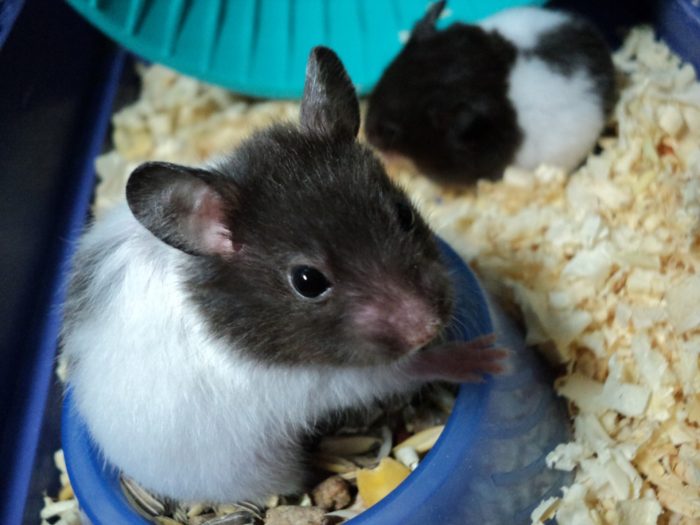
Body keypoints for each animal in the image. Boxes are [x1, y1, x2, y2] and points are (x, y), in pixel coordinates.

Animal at [61, 47, 506, 504]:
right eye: (308, 282)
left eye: (404, 215)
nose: (429, 325)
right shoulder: (328, 380)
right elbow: (407, 369)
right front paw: (488, 357)